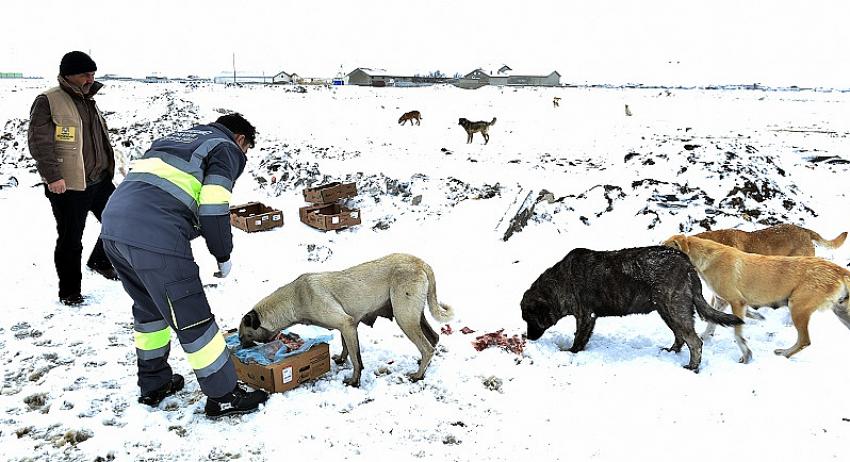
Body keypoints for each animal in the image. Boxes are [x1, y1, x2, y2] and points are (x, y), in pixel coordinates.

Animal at [235, 253, 454, 386]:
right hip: (414, 315)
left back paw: (418, 374)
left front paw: (354, 381)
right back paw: (423, 365)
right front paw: (341, 359)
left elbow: (356, 360)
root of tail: (420, 262)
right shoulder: (347, 326)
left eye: (243, 335)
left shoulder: (346, 324)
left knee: (427, 347)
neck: (295, 297)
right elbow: (347, 348)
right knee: (433, 339)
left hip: (405, 318)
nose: (240, 348)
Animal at [516, 245, 744, 372]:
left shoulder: (585, 316)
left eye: (529, 319)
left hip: (674, 309)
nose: (529, 338)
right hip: (667, 311)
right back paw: (672, 352)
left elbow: (578, 339)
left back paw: (692, 367)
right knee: (680, 337)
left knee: (695, 342)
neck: (561, 282)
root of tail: (688, 265)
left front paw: (571, 353)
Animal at [664, 236, 848, 362]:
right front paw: (706, 336)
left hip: (797, 308)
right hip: (841, 313)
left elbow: (737, 334)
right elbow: (712, 322)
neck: (707, 258)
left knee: (804, 341)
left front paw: (746, 355)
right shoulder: (722, 300)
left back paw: (784, 353)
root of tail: (838, 270)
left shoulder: (736, 302)